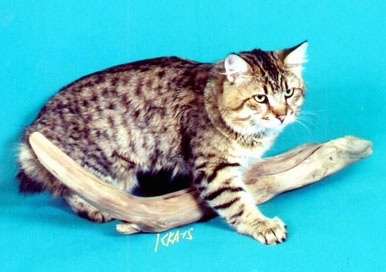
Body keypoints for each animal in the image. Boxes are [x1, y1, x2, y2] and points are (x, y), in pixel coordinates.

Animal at [17, 41, 308, 245]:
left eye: (289, 93)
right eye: (260, 98)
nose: (282, 115)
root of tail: (34, 127)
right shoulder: (213, 170)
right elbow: (236, 203)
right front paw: (262, 225)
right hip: (100, 169)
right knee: (69, 189)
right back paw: (92, 208)